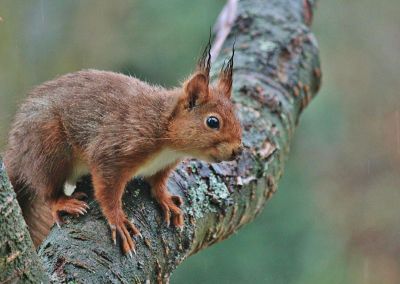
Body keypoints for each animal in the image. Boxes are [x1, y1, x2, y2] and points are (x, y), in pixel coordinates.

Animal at [3, 41, 241, 255]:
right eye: (213, 122)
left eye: (237, 115)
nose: (237, 151)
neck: (166, 139)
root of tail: (16, 150)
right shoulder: (114, 151)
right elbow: (107, 191)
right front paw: (118, 220)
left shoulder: (163, 166)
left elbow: (158, 182)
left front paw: (164, 198)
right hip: (47, 149)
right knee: (46, 188)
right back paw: (60, 202)